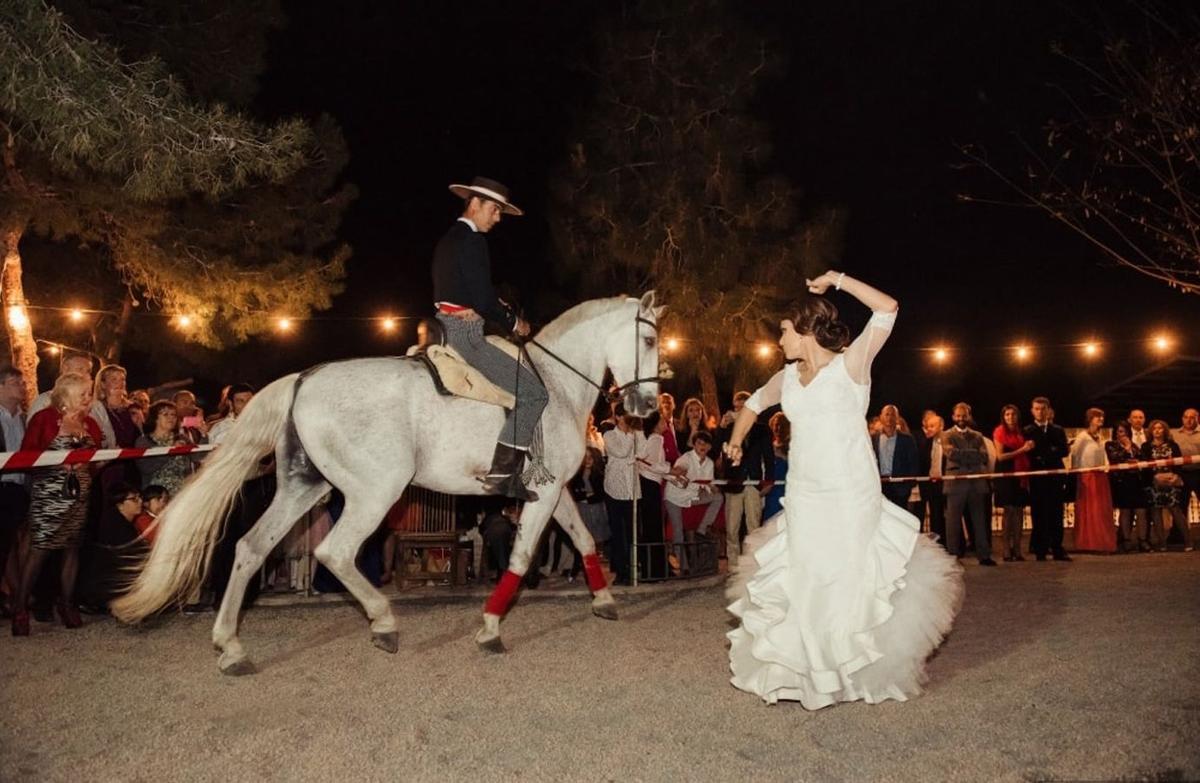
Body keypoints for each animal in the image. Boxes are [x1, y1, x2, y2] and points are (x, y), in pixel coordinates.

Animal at [110, 293, 667, 672]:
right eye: (649, 339)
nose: (647, 408)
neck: (556, 383)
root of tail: (303, 379)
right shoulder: (546, 491)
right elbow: (523, 555)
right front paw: (490, 627)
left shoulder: (555, 490)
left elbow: (583, 538)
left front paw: (604, 600)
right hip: (374, 493)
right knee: (333, 552)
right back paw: (383, 621)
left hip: (304, 487)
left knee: (250, 548)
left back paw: (231, 647)